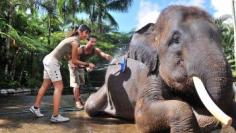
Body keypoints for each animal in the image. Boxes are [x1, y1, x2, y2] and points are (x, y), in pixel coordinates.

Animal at [84, 4, 235, 132]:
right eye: (175, 40)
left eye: (220, 38)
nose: (228, 121)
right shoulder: (148, 73)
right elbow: (143, 113)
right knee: (90, 105)